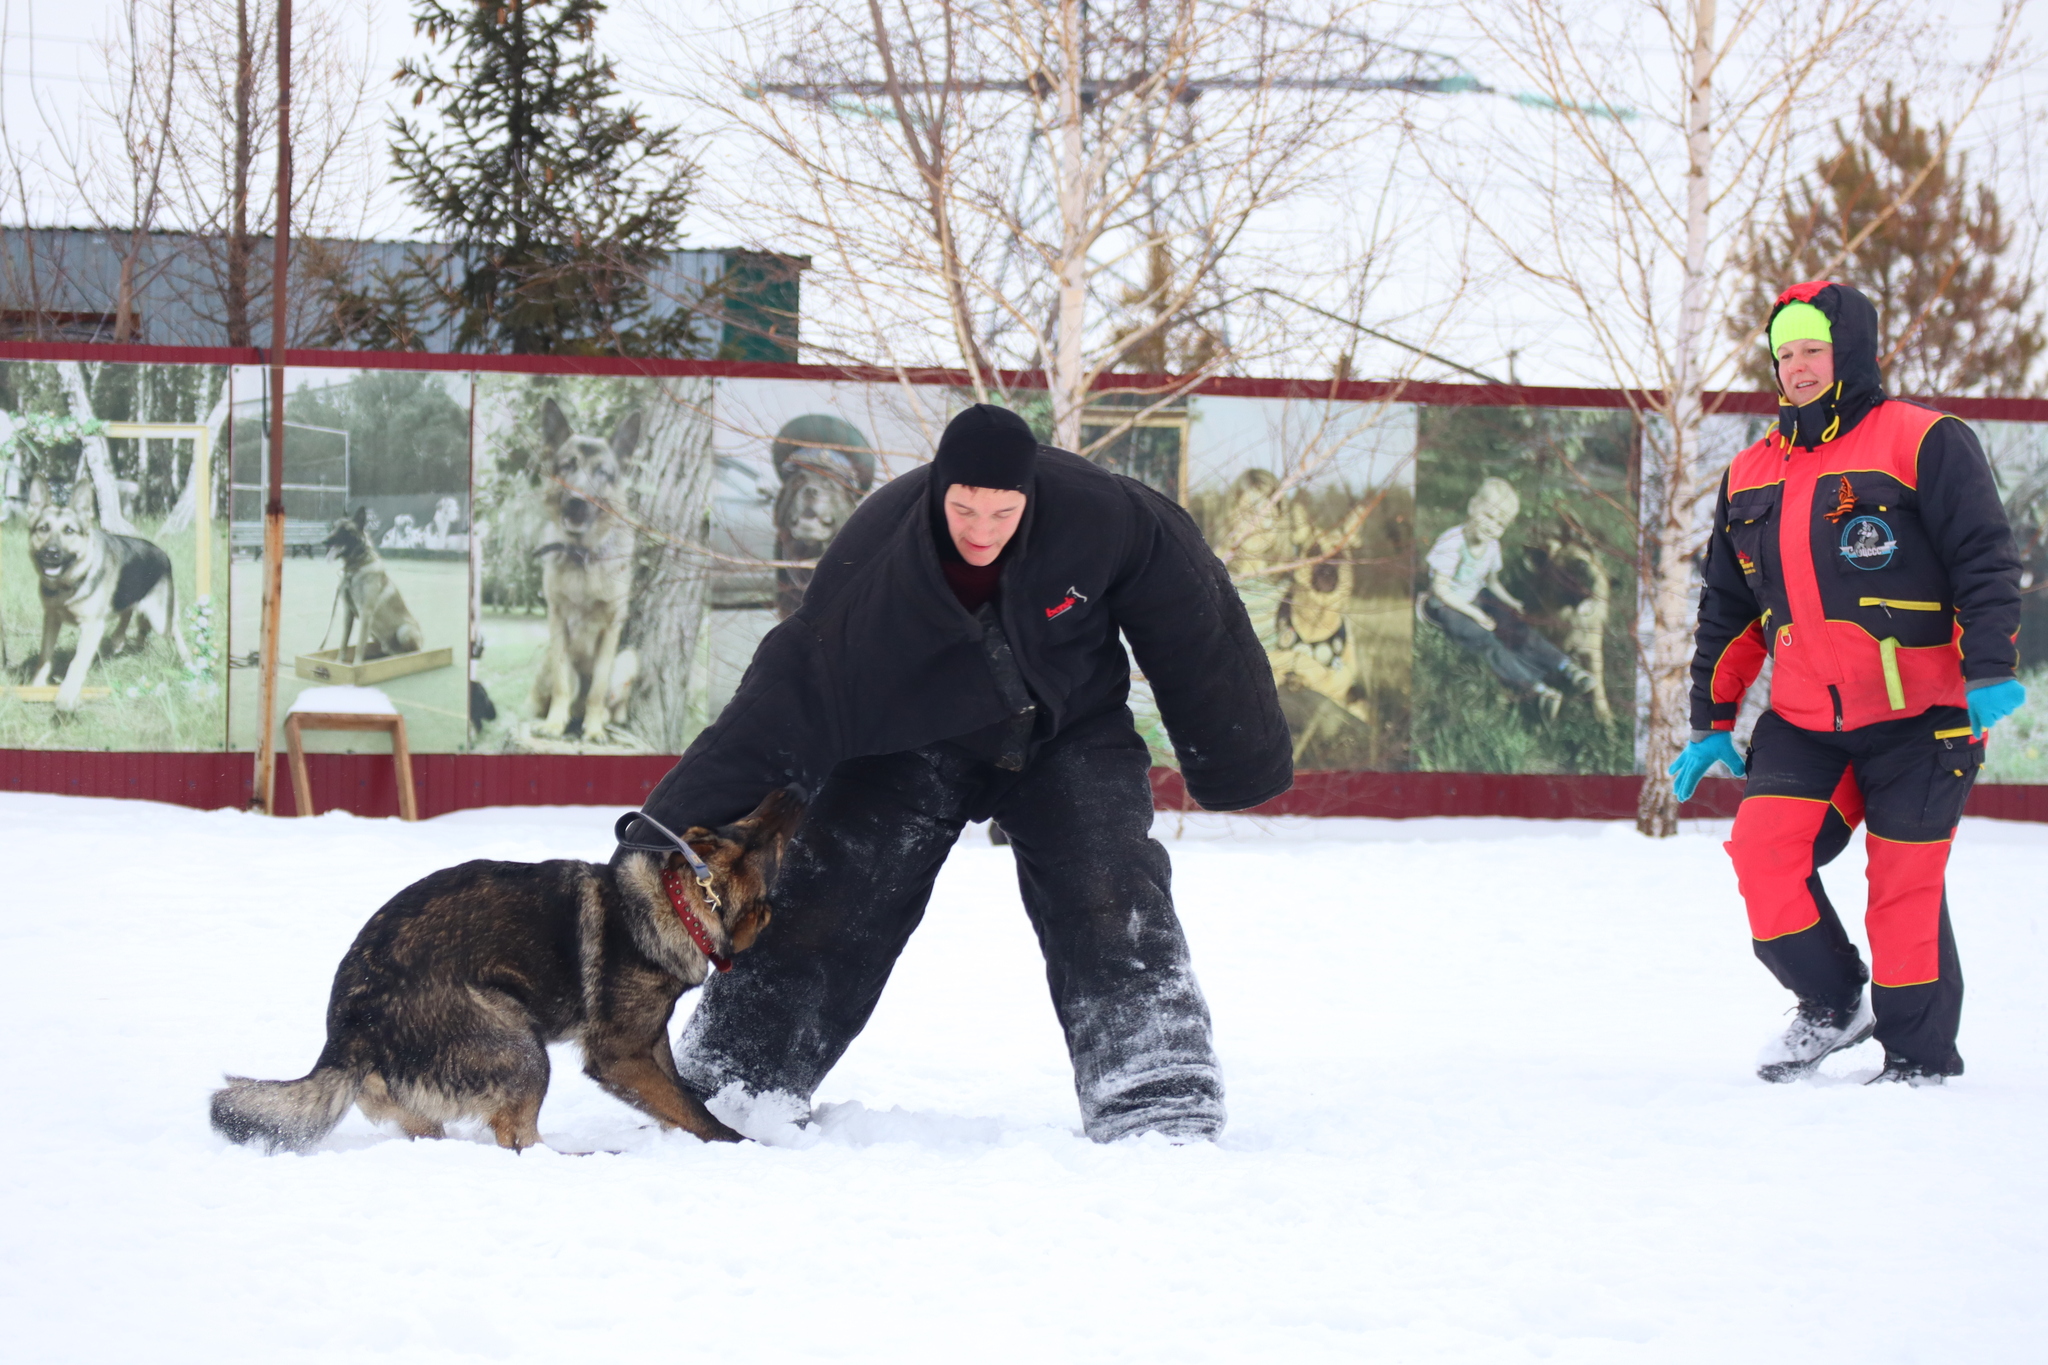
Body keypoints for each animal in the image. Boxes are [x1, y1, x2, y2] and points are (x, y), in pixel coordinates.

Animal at [25, 478, 192, 716]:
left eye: (69, 531)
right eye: (43, 529)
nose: (51, 553)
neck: (68, 584)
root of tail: (162, 552)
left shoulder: (91, 628)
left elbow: (77, 662)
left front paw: (67, 696)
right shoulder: (51, 619)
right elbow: (44, 656)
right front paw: (37, 686)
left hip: (160, 619)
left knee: (173, 629)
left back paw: (187, 660)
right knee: (128, 611)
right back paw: (119, 639)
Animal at [211, 789, 802, 1154]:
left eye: (742, 824)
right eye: (759, 838)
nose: (794, 789)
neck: (679, 903)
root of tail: (346, 1035)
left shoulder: (648, 1045)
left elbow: (677, 1097)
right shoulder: (618, 1056)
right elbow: (690, 1108)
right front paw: (742, 1147)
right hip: (520, 1045)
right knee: (520, 1143)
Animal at [321, 509, 425, 663]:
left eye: (345, 530)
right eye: (333, 527)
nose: (324, 541)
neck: (355, 568)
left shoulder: (366, 613)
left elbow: (359, 645)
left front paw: (357, 665)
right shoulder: (348, 614)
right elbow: (343, 643)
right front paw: (339, 662)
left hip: (403, 631)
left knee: (414, 652)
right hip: (374, 634)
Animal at [536, 401, 638, 740]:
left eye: (601, 472)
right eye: (568, 465)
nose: (577, 503)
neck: (582, 555)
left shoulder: (611, 627)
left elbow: (598, 688)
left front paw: (593, 731)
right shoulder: (557, 621)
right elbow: (561, 684)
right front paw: (554, 723)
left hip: (630, 658)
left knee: (610, 702)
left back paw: (602, 720)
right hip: (548, 661)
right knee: (562, 691)